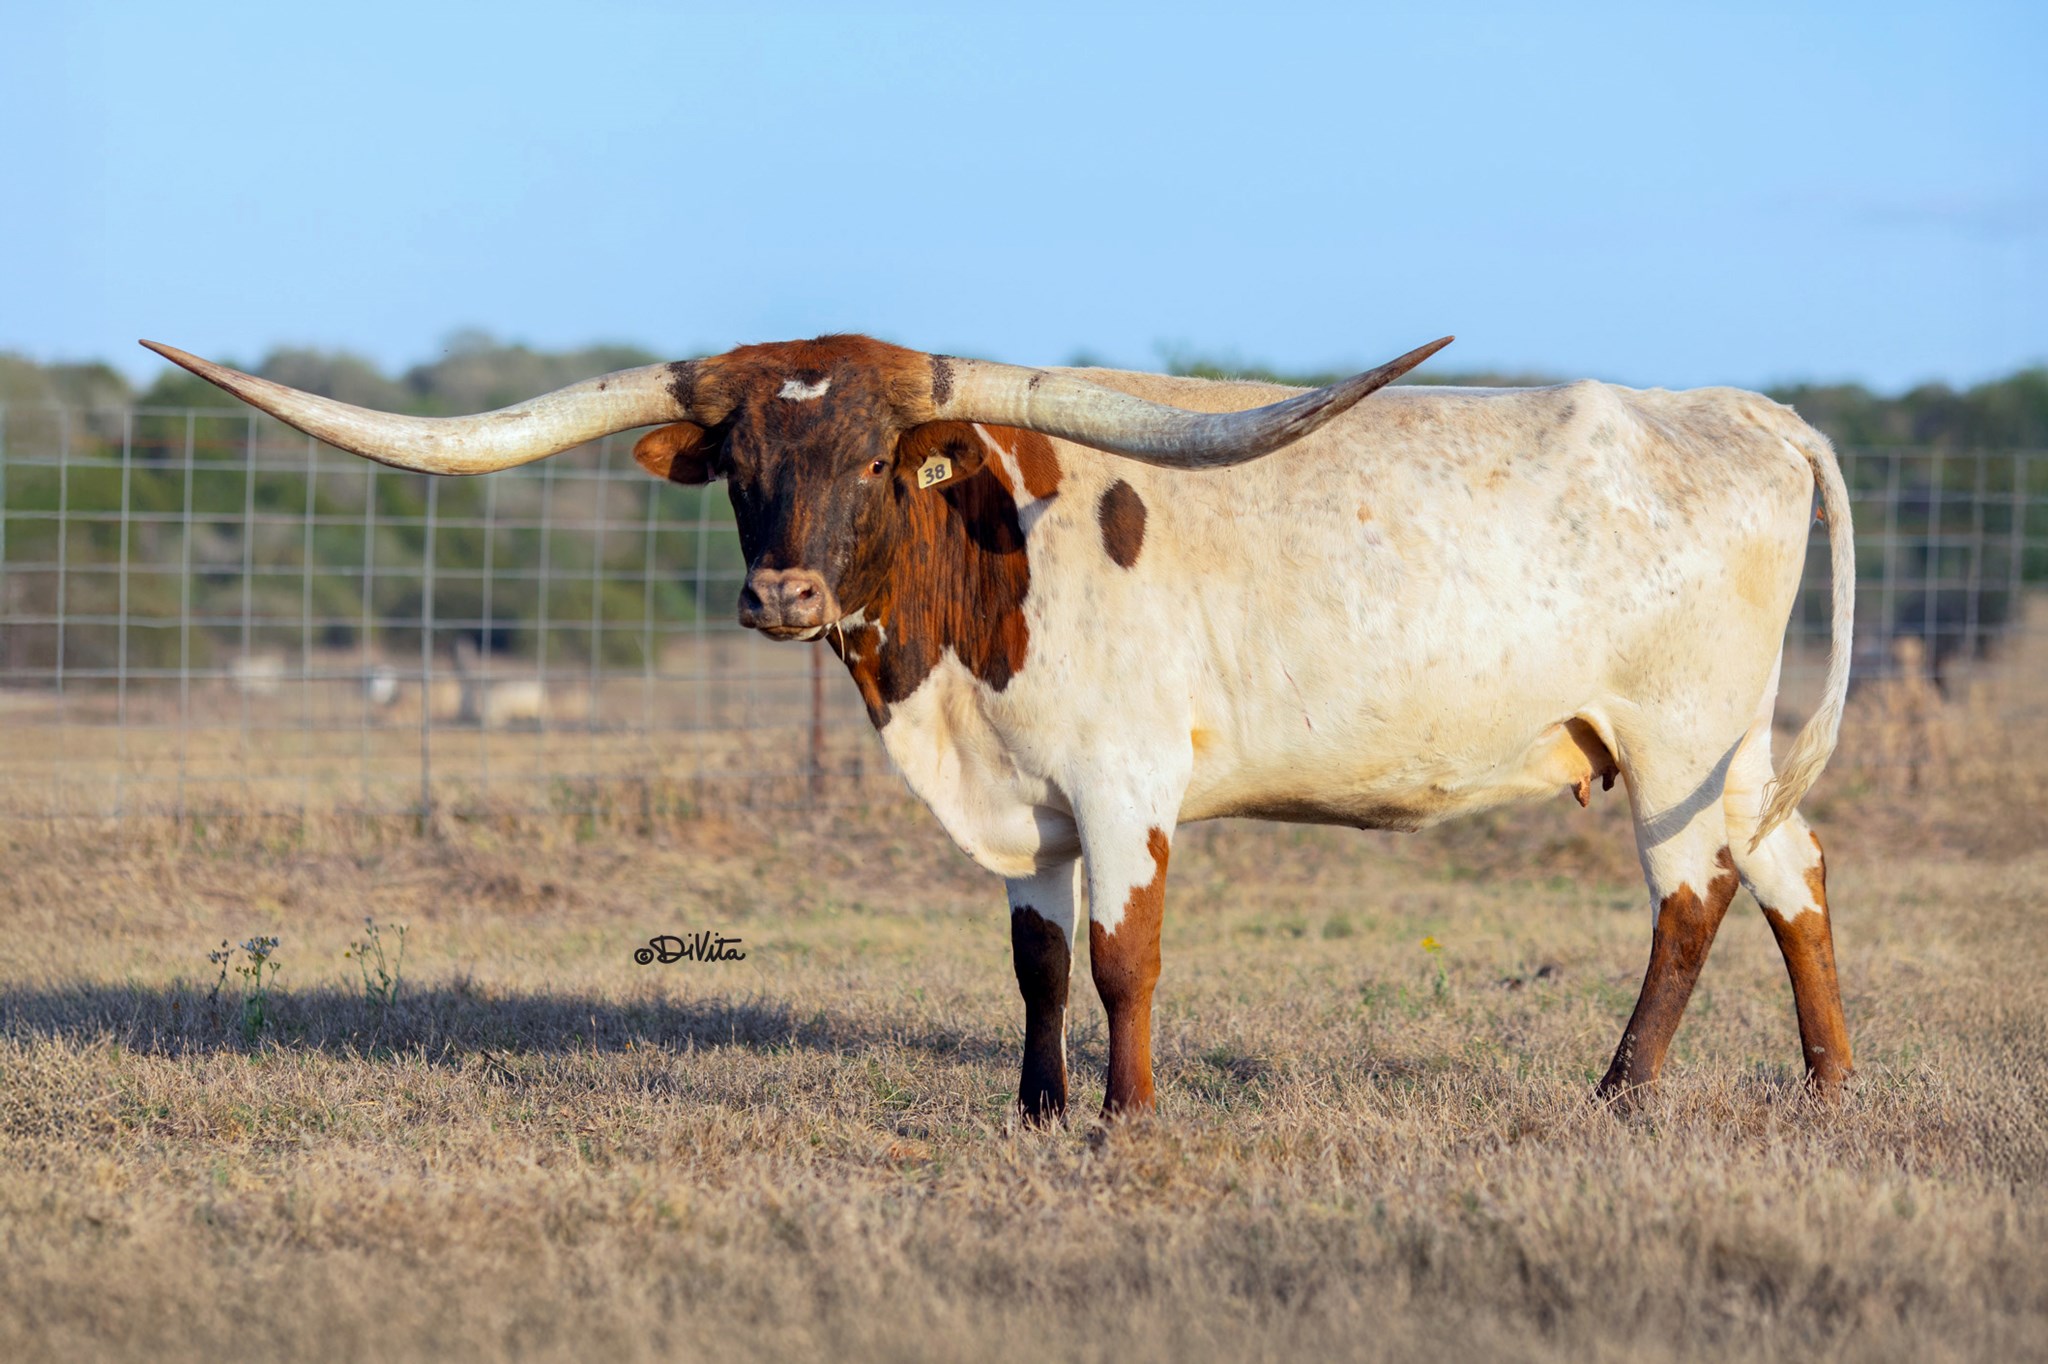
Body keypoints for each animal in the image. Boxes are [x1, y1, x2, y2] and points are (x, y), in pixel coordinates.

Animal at [140, 332, 1856, 1122]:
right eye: (743, 462)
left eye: (876, 461)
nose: (779, 594)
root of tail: (1751, 410)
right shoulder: (1022, 803)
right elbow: (1034, 961)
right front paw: (1034, 1111)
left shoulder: (1121, 785)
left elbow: (1121, 957)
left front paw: (1128, 1115)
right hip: (1730, 755)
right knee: (1794, 873)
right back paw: (1832, 1079)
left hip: (1674, 739)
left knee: (1693, 900)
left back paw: (1623, 1090)